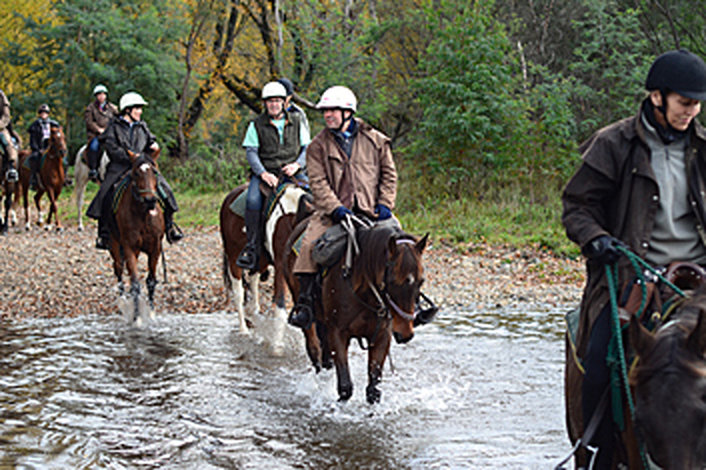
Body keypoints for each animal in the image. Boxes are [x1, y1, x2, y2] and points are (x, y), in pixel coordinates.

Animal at [108, 152, 165, 322]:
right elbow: (134, 283)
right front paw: (137, 317)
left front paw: (151, 313)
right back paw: (123, 302)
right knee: (119, 270)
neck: (143, 215)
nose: (150, 200)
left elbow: (151, 281)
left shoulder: (155, 248)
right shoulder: (129, 248)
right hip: (114, 244)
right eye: (136, 173)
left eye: (154, 172)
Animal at [217, 178, 310, 346]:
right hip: (233, 257)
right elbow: (280, 308)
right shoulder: (281, 267)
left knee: (253, 280)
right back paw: (244, 330)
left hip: (260, 260)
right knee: (238, 293)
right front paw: (277, 345)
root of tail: (229, 197)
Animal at [282, 218, 426, 404]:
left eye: (421, 281)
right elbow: (345, 387)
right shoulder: (338, 333)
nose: (405, 333)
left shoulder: (382, 335)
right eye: (393, 281)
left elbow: (373, 390)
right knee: (313, 347)